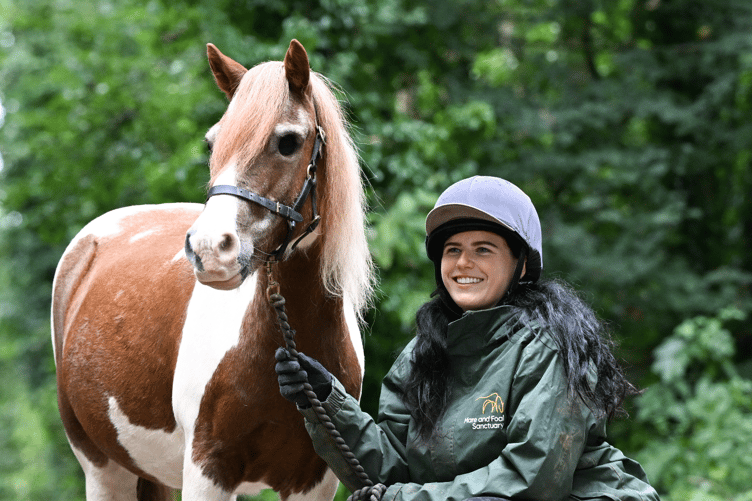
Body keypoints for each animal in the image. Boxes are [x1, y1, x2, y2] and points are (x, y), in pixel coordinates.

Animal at [51, 39, 373, 501]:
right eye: (211, 143)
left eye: (288, 142)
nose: (208, 248)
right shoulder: (209, 470)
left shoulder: (314, 480)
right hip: (104, 469)